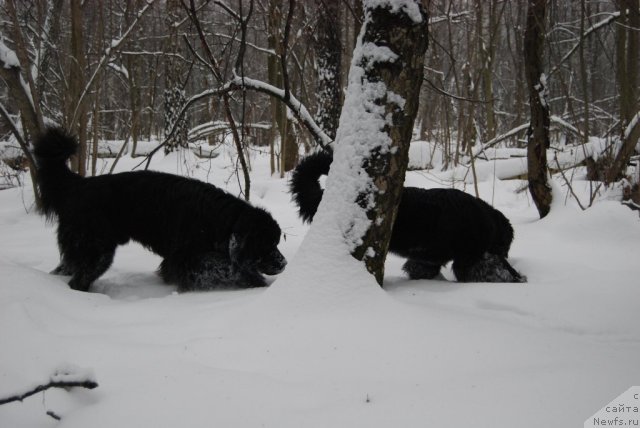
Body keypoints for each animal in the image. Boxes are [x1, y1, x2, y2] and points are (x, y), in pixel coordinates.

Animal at [31, 127, 288, 292]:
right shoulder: (187, 258)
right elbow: (229, 266)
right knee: (79, 279)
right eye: (267, 244)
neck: (222, 222)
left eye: (277, 242)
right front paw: (255, 282)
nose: (284, 263)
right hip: (95, 249)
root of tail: (78, 184)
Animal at [290, 151, 524, 284]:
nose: (506, 254)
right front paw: (515, 278)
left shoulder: (428, 258)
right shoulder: (469, 259)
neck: (487, 222)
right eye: (505, 245)